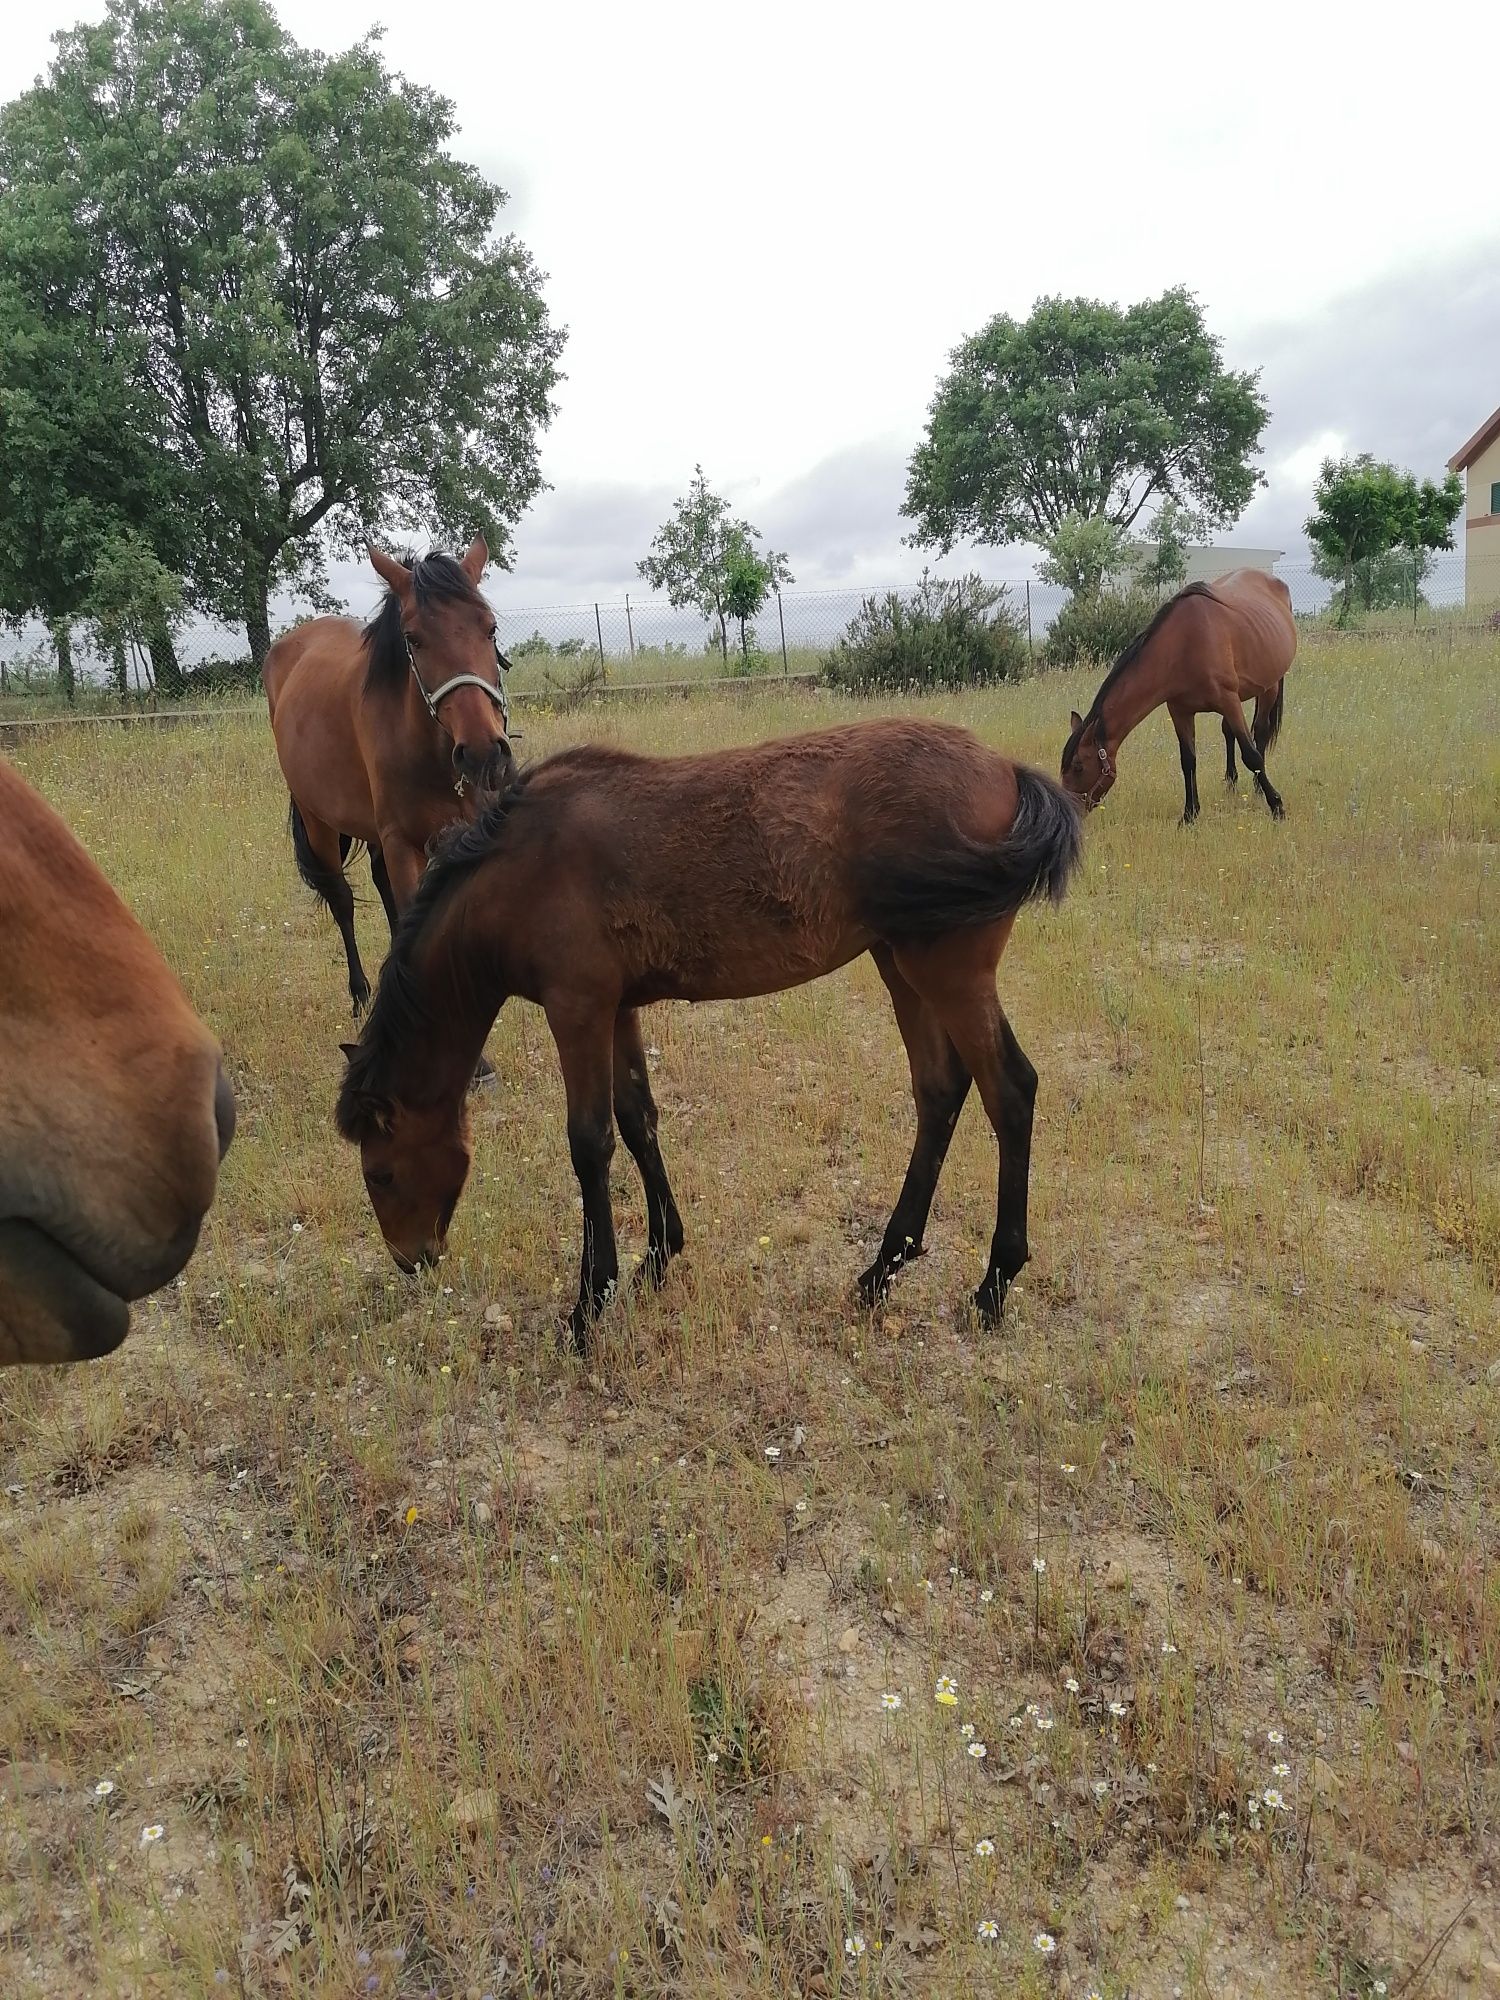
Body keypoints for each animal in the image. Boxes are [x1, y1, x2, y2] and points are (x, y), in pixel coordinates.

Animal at [262, 536, 516, 1016]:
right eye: (413, 639)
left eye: (490, 629)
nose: (481, 752)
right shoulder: (402, 843)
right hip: (319, 822)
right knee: (343, 900)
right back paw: (361, 993)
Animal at [332, 712, 1080, 1352]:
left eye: (380, 1173)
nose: (412, 1262)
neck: (520, 867)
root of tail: (1005, 770)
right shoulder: (616, 1008)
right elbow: (637, 1119)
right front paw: (658, 1258)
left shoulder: (576, 1009)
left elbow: (589, 1143)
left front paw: (587, 1306)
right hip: (901, 965)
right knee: (939, 1092)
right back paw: (880, 1272)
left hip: (949, 972)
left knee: (1009, 1091)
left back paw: (993, 1284)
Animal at [1064, 572, 1296, 828]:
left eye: (1078, 766)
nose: (1068, 810)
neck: (1184, 645)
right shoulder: (1180, 711)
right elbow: (1188, 761)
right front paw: (1189, 814)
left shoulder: (1229, 701)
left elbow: (1252, 756)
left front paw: (1277, 806)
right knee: (1228, 731)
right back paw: (1230, 782)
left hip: (1269, 687)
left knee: (1261, 732)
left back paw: (1257, 788)